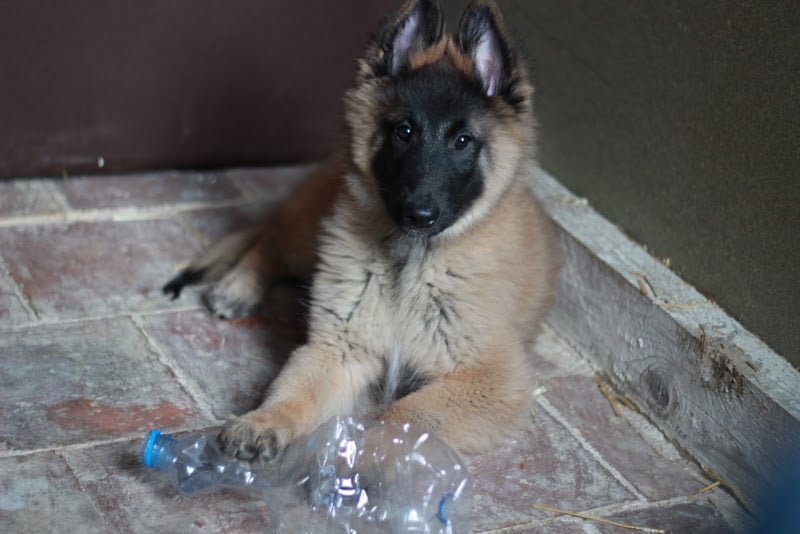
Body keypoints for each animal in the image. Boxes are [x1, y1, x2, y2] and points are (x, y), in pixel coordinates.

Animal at [165, 0, 560, 460]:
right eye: (404, 132)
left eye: (462, 141)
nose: (418, 214)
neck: (411, 260)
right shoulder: (337, 349)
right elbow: (293, 396)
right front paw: (263, 421)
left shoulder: (491, 378)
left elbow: (406, 413)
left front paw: (374, 455)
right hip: (311, 234)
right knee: (271, 237)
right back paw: (237, 288)